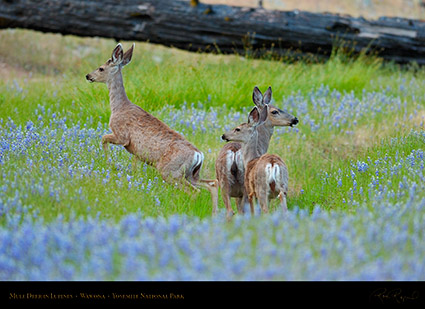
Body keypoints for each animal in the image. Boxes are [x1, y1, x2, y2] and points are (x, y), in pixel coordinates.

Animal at [86, 42, 219, 212]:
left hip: (170, 171)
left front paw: (109, 163)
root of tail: (198, 155)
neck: (119, 107)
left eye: (101, 68)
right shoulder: (136, 151)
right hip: (191, 173)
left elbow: (103, 138)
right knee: (212, 184)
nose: (88, 76)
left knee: (194, 191)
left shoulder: (122, 136)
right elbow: (134, 166)